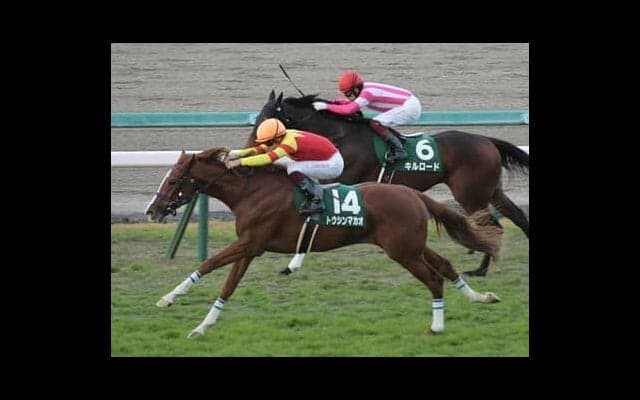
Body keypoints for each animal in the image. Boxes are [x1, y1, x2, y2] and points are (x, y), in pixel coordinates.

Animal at [145, 147, 503, 339]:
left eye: (174, 180)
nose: (152, 210)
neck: (251, 191)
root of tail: (412, 193)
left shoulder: (251, 243)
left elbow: (207, 264)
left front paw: (168, 298)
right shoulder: (250, 248)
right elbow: (227, 286)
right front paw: (201, 326)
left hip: (402, 251)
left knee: (433, 279)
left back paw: (436, 327)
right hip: (411, 246)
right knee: (445, 266)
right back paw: (480, 297)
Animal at [246, 91, 529, 277]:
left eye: (268, 116)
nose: (251, 143)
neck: (342, 136)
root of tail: (487, 140)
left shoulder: (344, 181)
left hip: (470, 194)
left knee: (491, 225)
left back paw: (480, 269)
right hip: (491, 191)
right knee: (514, 218)